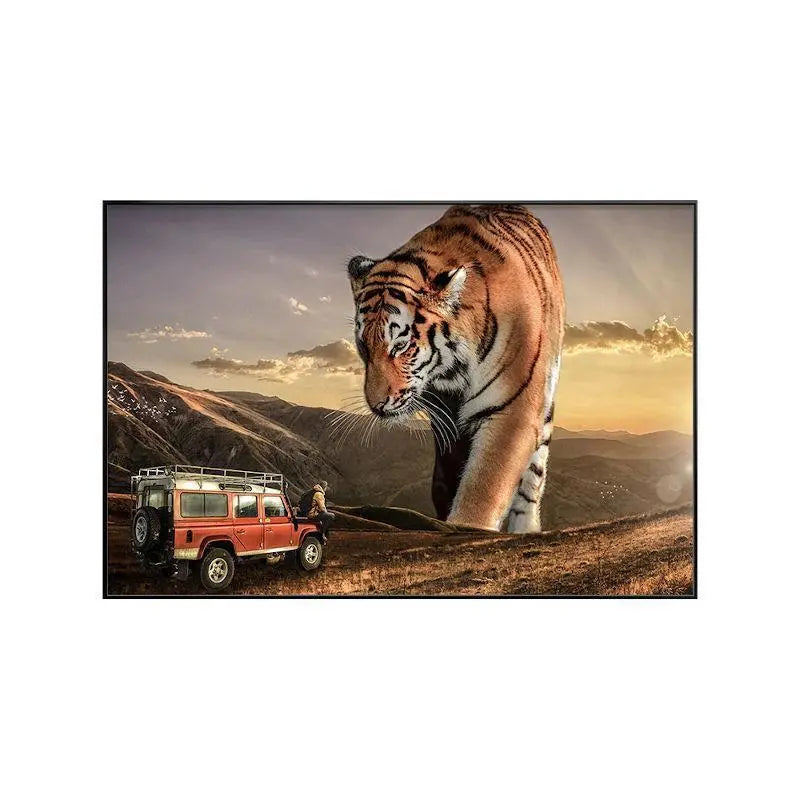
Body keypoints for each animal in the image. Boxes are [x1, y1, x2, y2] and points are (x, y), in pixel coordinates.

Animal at [347, 204, 565, 533]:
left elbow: (484, 486)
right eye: (363, 346)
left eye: (401, 345)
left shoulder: (513, 410)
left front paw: (468, 526)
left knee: (531, 482)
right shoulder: (445, 425)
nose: (376, 405)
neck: (449, 375)